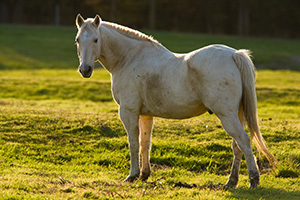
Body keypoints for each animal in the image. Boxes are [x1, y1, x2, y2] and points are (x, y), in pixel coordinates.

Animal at [74, 14, 274, 189]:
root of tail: (234, 54)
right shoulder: (145, 114)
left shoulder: (128, 112)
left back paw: (253, 180)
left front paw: (132, 175)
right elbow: (145, 143)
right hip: (237, 114)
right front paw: (144, 175)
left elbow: (133, 143)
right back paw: (231, 182)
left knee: (244, 141)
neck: (129, 58)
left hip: (227, 116)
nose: (85, 69)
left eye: (96, 40)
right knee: (237, 146)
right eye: (77, 40)